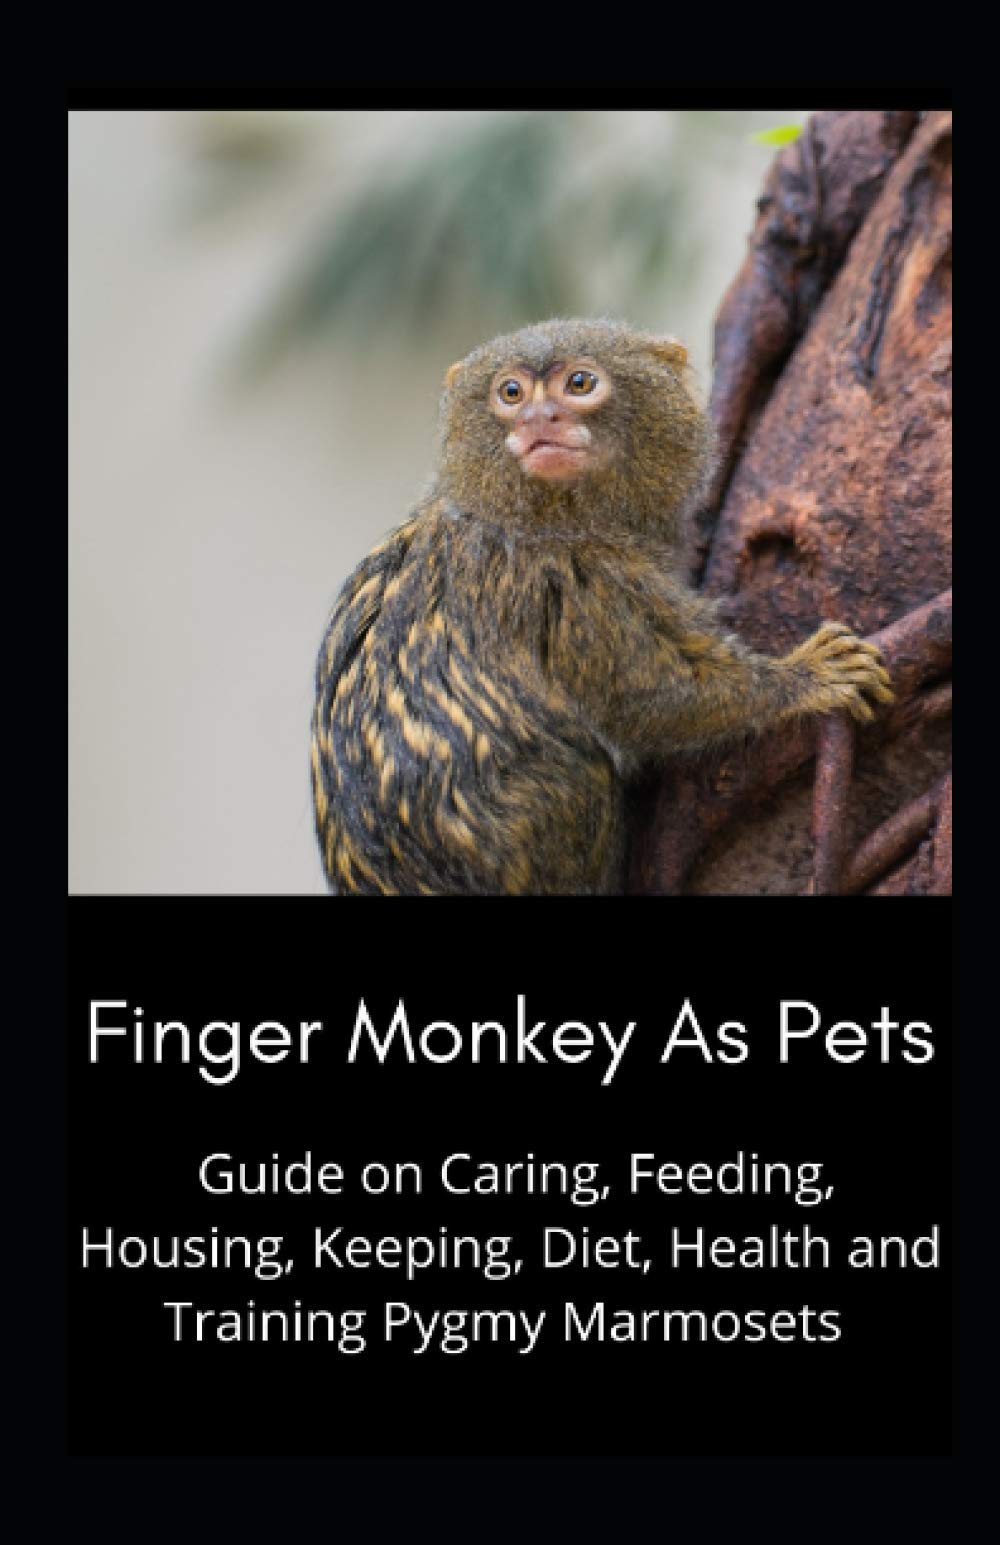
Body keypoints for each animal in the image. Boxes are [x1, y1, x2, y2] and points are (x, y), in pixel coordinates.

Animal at [311, 317, 893, 895]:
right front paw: (805, 679)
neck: (549, 519)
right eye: (511, 393)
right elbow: (652, 696)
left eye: (579, 384)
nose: (540, 418)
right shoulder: (576, 582)